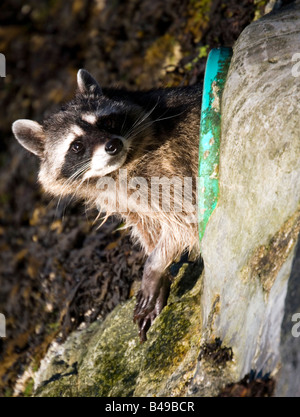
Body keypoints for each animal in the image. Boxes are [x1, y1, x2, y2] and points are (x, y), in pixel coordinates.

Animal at [12, 69, 203, 342]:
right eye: (76, 146)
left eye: (106, 122)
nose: (113, 145)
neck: (116, 170)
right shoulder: (129, 197)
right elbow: (150, 227)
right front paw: (160, 271)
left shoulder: (170, 169)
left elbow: (186, 218)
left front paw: (153, 266)